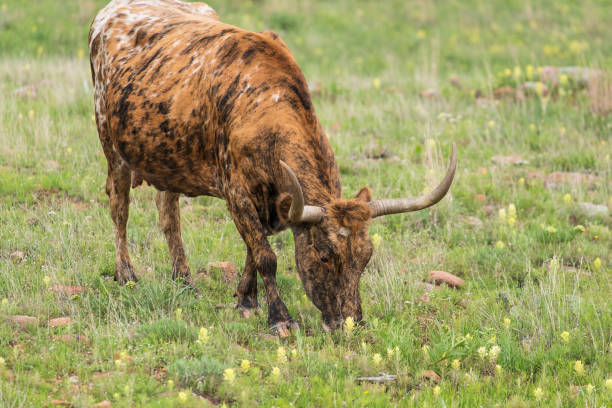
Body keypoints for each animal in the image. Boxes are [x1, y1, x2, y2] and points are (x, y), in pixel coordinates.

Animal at [89, 0, 454, 332]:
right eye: (325, 255)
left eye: (366, 258)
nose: (351, 324)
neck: (263, 107)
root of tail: (110, 11)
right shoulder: (236, 193)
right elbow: (266, 256)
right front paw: (279, 318)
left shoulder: (272, 203)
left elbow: (253, 249)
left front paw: (245, 300)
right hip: (111, 146)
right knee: (119, 209)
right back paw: (126, 275)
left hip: (169, 161)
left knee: (168, 215)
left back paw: (184, 280)